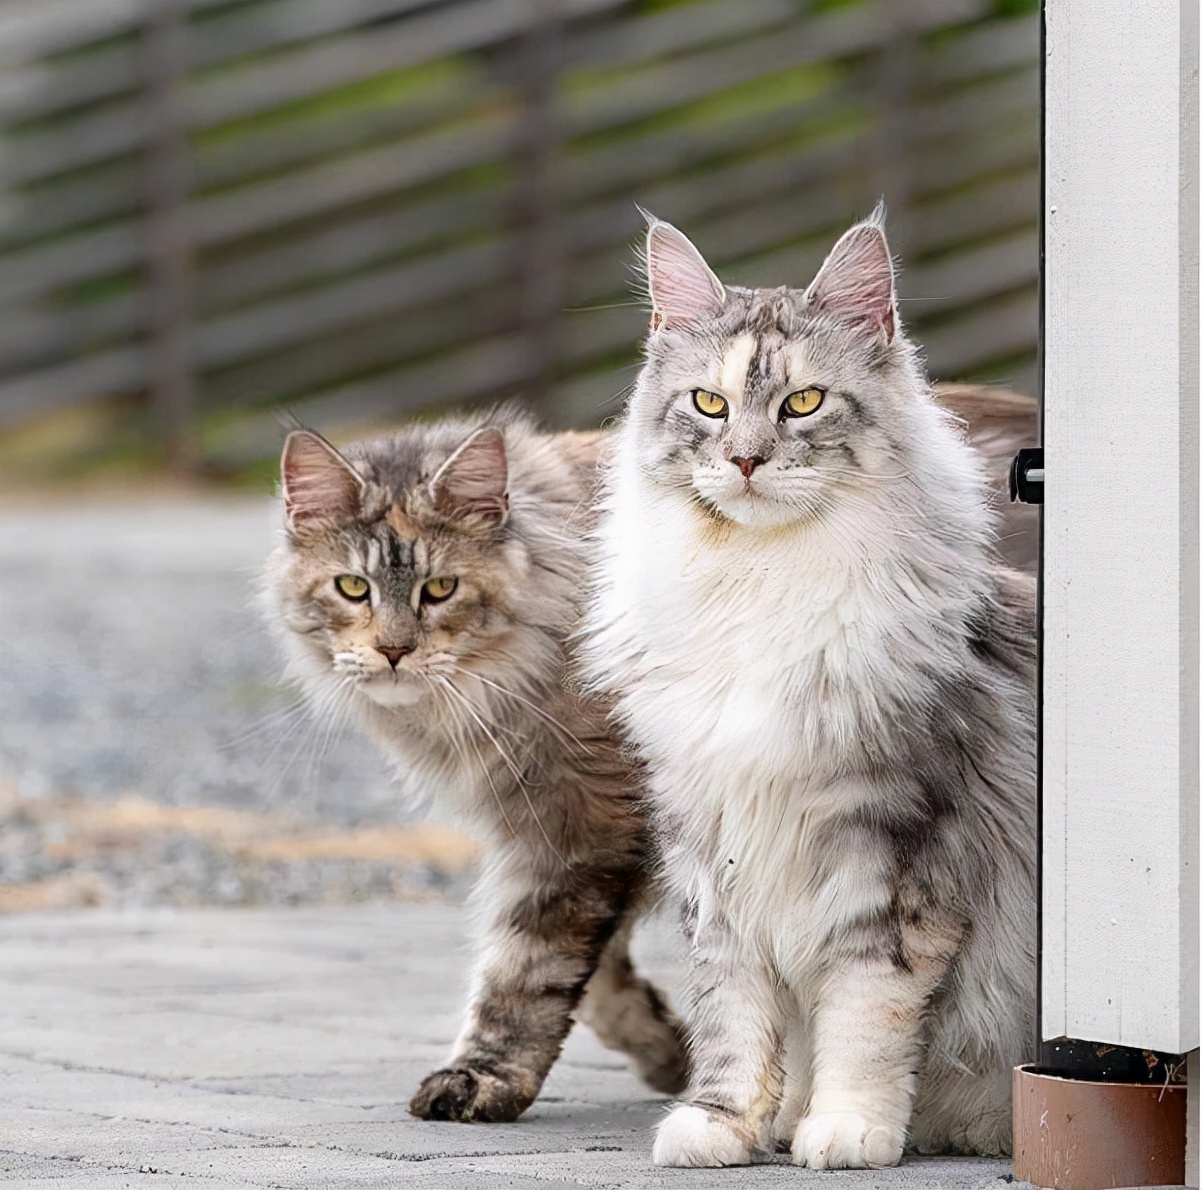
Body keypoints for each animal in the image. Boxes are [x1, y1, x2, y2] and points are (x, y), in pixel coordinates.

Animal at [269, 415, 692, 1125]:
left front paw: (482, 1079)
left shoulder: (580, 825)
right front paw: (669, 1050)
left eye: (441, 589)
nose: (393, 650)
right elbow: (599, 978)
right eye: (352, 588)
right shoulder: (569, 837)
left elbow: (524, 970)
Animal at [579, 209, 1033, 1168]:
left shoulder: (893, 859)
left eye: (804, 403)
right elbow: (733, 1018)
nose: (748, 459)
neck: (760, 583)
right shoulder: (715, 851)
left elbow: (863, 1017)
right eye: (710, 405)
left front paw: (849, 1127)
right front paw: (726, 1126)